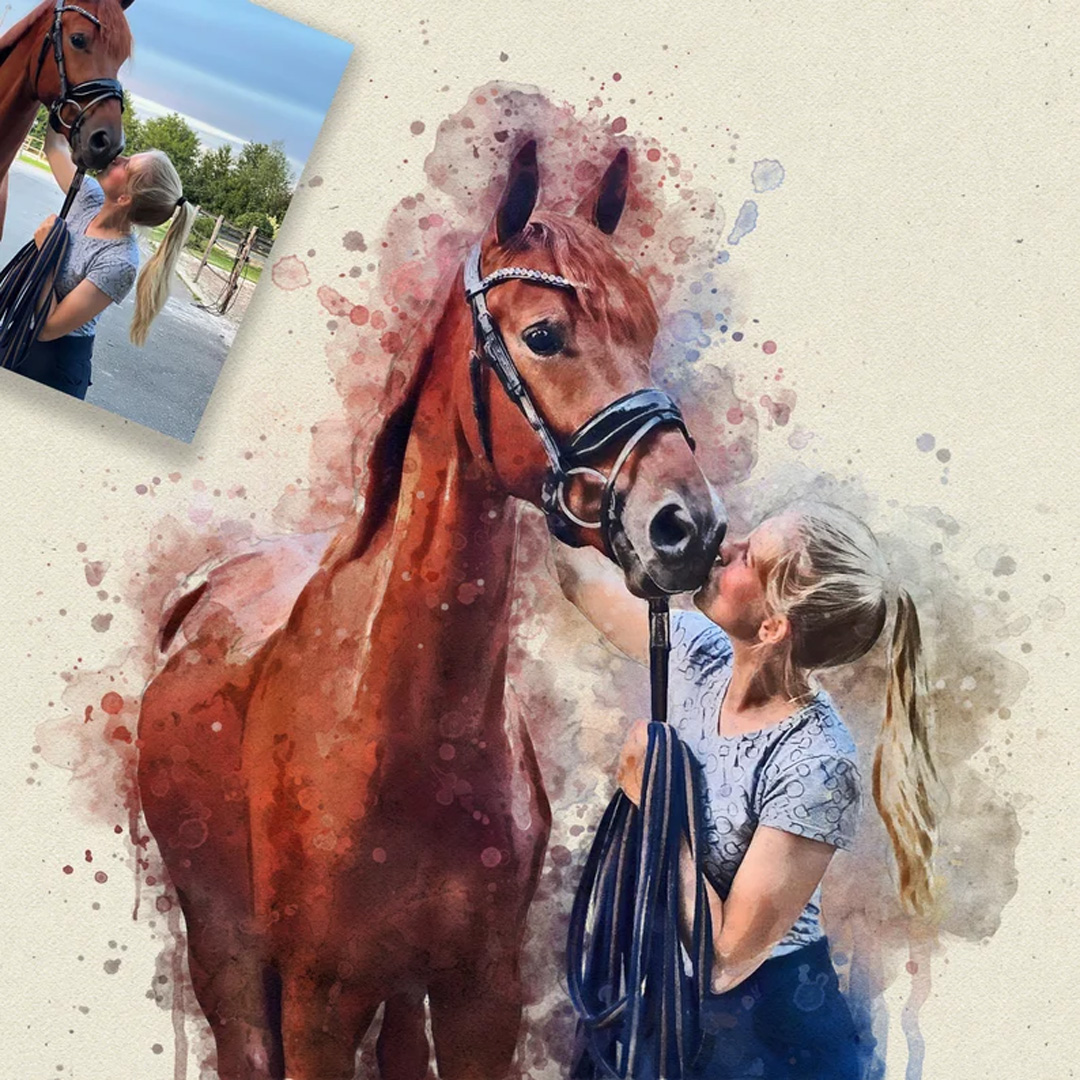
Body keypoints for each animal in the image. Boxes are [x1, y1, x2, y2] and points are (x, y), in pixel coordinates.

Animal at [136, 140, 727, 1080]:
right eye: (544, 335)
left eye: (645, 330)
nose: (688, 527)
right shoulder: (320, 1000)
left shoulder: (482, 994)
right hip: (228, 954)